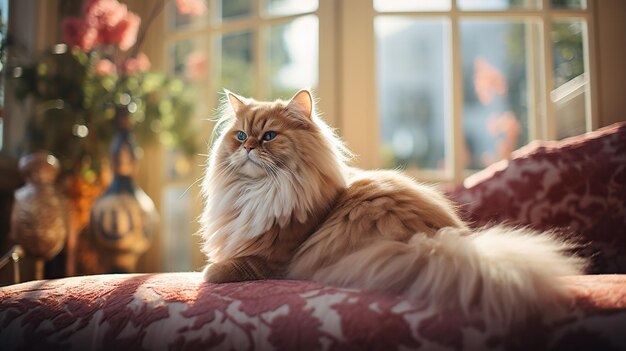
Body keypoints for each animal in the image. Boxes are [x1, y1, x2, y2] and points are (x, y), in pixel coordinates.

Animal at [200, 89, 584, 328]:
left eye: (269, 136)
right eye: (239, 136)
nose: (248, 147)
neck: (257, 192)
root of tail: (441, 242)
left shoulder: (279, 258)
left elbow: (231, 266)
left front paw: (208, 272)